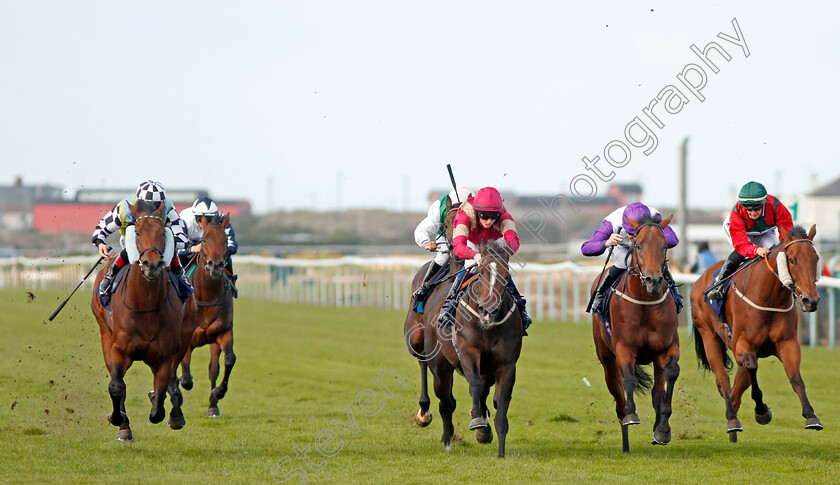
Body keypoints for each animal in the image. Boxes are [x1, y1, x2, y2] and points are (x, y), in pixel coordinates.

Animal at [90, 199, 199, 440]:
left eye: (163, 232)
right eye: (137, 232)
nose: (152, 264)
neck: (146, 306)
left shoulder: (166, 354)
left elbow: (160, 400)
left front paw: (168, 411)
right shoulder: (119, 348)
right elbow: (117, 387)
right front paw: (119, 421)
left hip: (183, 339)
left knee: (171, 381)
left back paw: (176, 413)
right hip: (105, 336)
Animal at [178, 212, 236, 416]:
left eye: (225, 240)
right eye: (204, 240)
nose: (216, 265)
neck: (207, 296)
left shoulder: (223, 332)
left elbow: (228, 360)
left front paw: (218, 392)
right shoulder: (185, 338)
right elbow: (185, 374)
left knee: (213, 368)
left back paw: (213, 405)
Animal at [592, 214, 684, 452]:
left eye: (664, 246)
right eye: (638, 245)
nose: (654, 281)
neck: (645, 301)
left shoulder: (667, 347)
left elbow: (670, 375)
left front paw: (662, 429)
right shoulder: (625, 347)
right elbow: (629, 380)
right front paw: (632, 415)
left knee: (656, 392)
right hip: (606, 359)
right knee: (618, 397)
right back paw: (625, 440)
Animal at [692, 225, 824, 440]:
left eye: (816, 258)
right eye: (792, 260)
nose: (810, 300)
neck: (770, 297)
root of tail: (700, 279)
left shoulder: (788, 343)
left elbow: (796, 378)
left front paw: (811, 416)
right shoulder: (743, 344)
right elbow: (752, 367)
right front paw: (762, 411)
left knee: (737, 390)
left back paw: (733, 426)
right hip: (708, 336)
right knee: (723, 380)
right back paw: (732, 419)